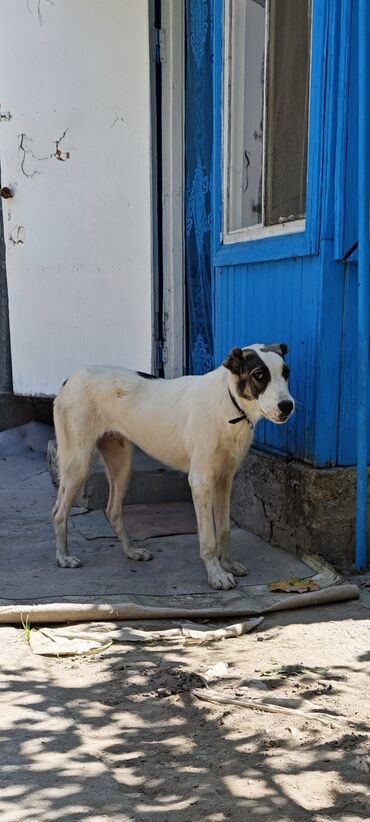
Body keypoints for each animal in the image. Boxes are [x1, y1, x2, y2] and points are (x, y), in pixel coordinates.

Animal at [52, 346, 294, 592]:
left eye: (286, 373)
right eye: (259, 375)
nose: (288, 406)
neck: (229, 405)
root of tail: (71, 378)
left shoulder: (224, 480)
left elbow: (224, 528)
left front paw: (229, 564)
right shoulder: (201, 481)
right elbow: (208, 538)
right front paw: (216, 575)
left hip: (122, 465)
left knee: (112, 510)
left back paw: (132, 551)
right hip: (78, 464)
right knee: (59, 512)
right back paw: (63, 558)